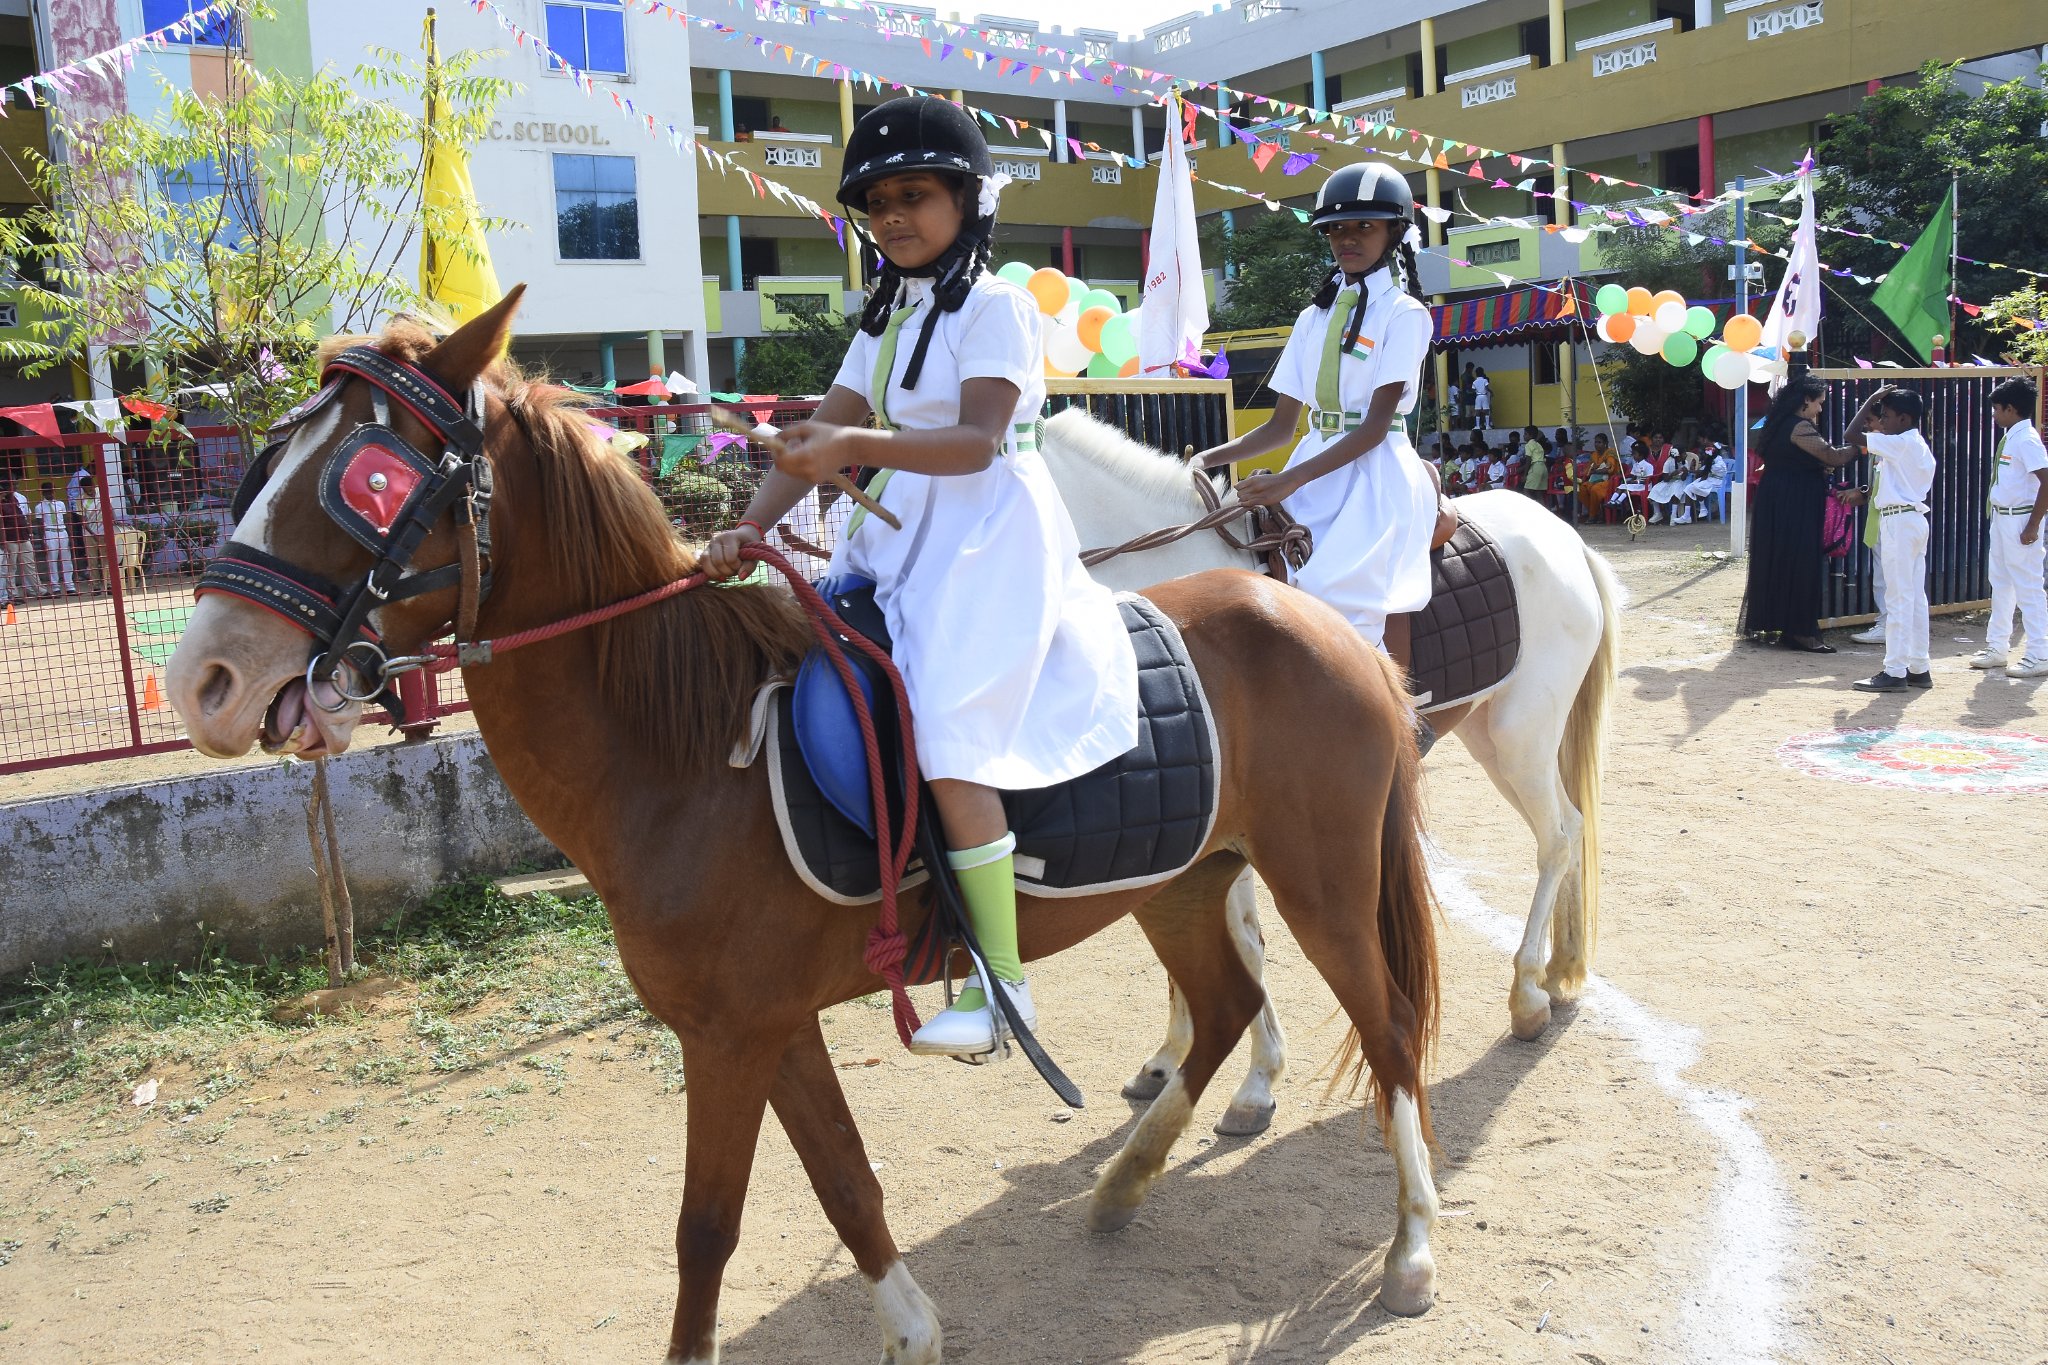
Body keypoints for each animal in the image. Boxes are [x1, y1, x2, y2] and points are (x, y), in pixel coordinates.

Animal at [172, 294, 1441, 1358]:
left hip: (1321, 883)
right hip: (1184, 879)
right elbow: (843, 1183)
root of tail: (1323, 625)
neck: (684, 751)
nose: (205, 681)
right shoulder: (764, 1026)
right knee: (1224, 1007)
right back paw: (1126, 1182)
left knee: (1385, 1031)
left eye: (368, 480)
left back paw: (1411, 1249)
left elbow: (706, 1229)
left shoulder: (731, 1035)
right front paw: (913, 1332)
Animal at [1048, 411, 1622, 1137]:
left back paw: (1526, 995)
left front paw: (1257, 1082)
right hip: (1493, 733)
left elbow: (1244, 942)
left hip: (1522, 735)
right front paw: (1168, 1058)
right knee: (1568, 830)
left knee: (1558, 837)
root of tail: (1563, 536)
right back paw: (1556, 973)